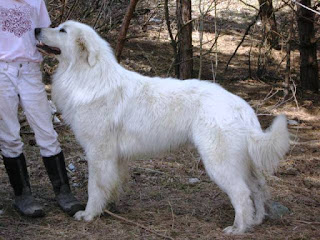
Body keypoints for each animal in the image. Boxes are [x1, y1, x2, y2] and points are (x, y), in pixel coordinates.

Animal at [35, 21, 290, 234]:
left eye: (62, 31)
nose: (36, 29)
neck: (86, 75)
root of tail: (241, 106)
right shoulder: (115, 158)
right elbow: (112, 184)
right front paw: (110, 207)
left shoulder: (98, 153)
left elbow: (94, 187)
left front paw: (89, 214)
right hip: (243, 162)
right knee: (258, 188)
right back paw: (257, 220)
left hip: (219, 163)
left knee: (241, 194)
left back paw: (239, 228)